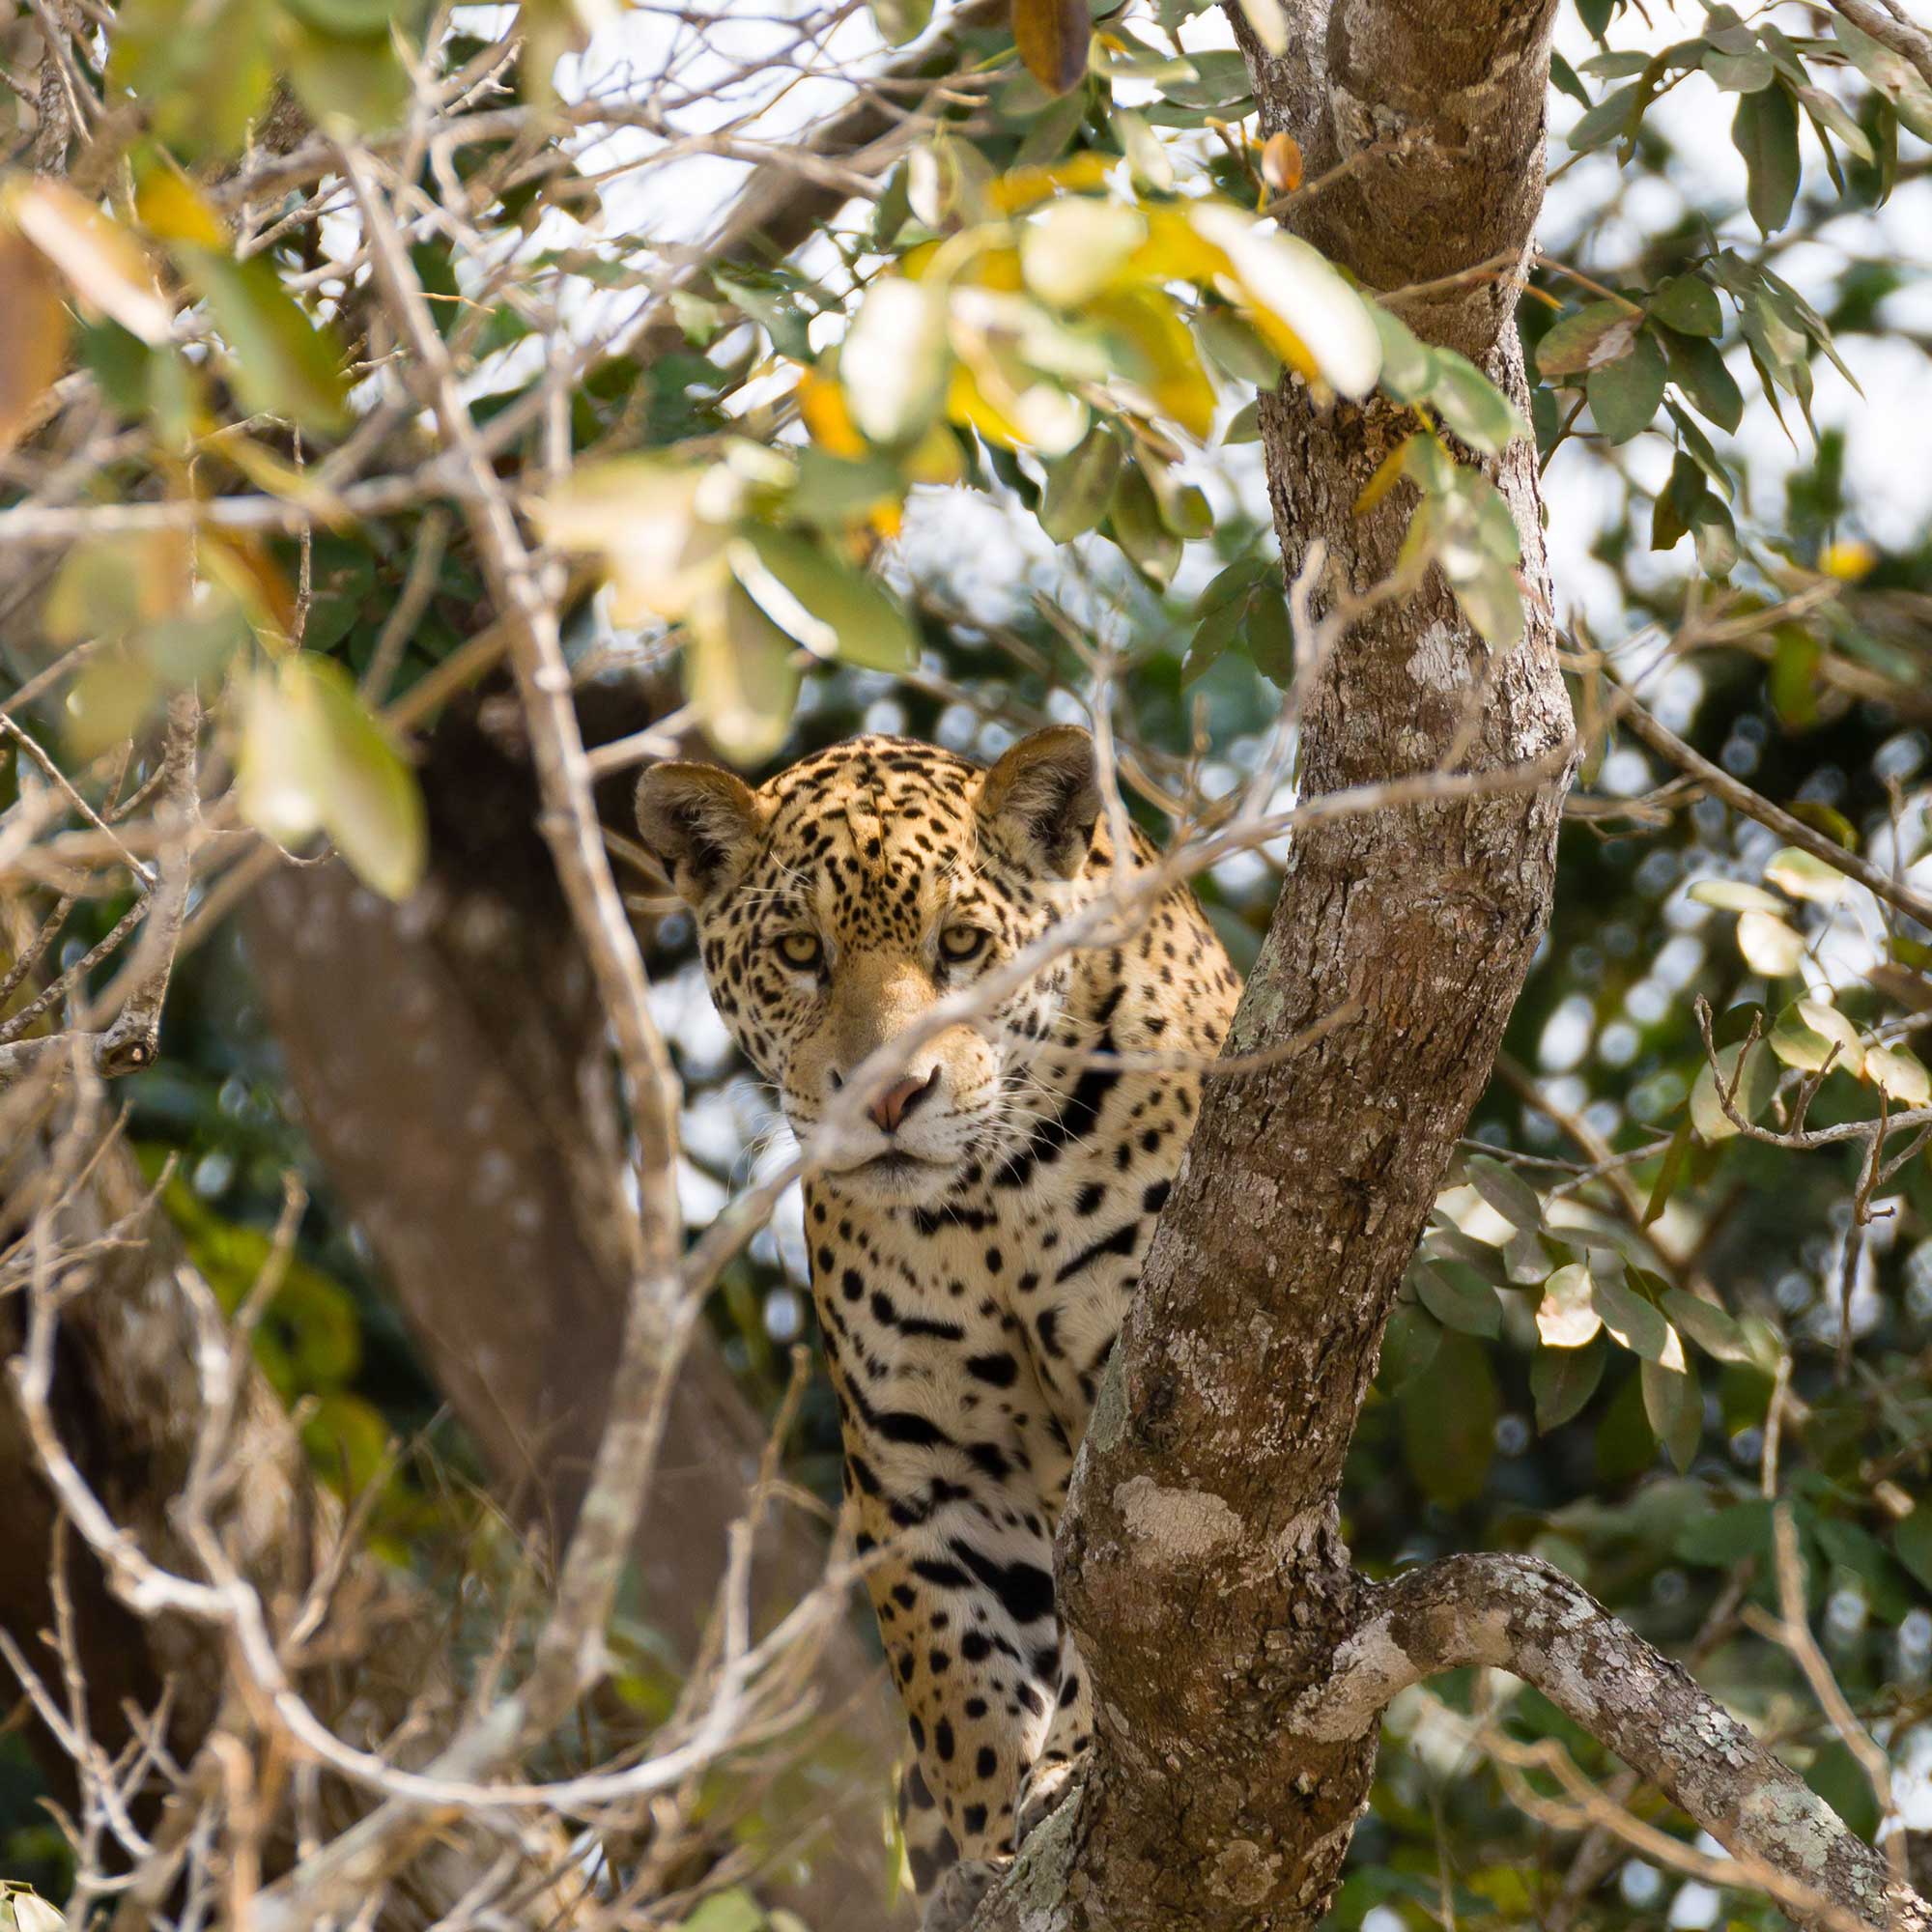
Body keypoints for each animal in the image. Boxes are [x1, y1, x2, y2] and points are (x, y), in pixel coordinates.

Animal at [636, 726, 1240, 1927]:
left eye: (961, 943)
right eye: (798, 949)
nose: (885, 1095)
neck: (983, 1202)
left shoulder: (1147, 1417)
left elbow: (1118, 1612)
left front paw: (1074, 1762)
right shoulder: (925, 1464)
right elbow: (953, 1679)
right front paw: (986, 1846)